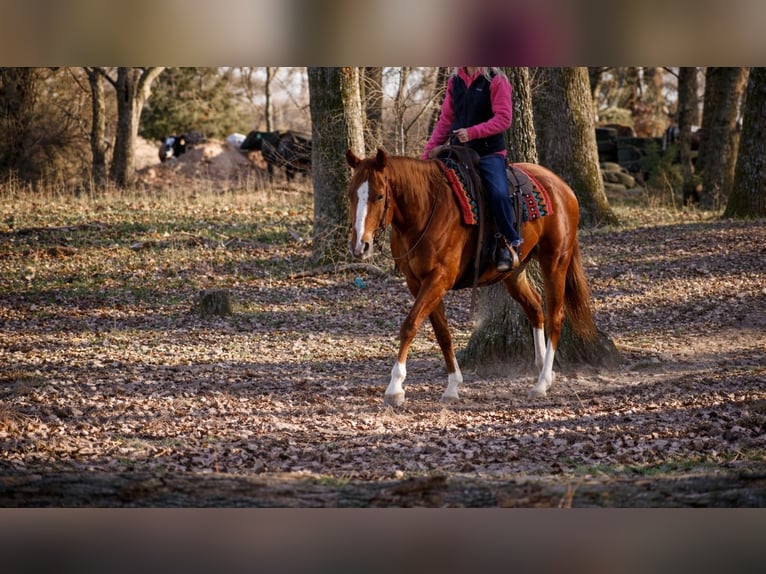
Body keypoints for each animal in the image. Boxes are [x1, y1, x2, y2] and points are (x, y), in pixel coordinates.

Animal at [345, 148, 596, 406]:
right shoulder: (417, 283)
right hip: (514, 273)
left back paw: (542, 382)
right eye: (351, 195)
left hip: (555, 261)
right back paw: (542, 368)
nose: (360, 246)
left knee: (555, 316)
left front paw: (395, 387)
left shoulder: (439, 279)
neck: (426, 209)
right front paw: (453, 386)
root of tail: (563, 187)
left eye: (379, 196)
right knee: (535, 307)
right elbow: (442, 333)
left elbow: (410, 325)